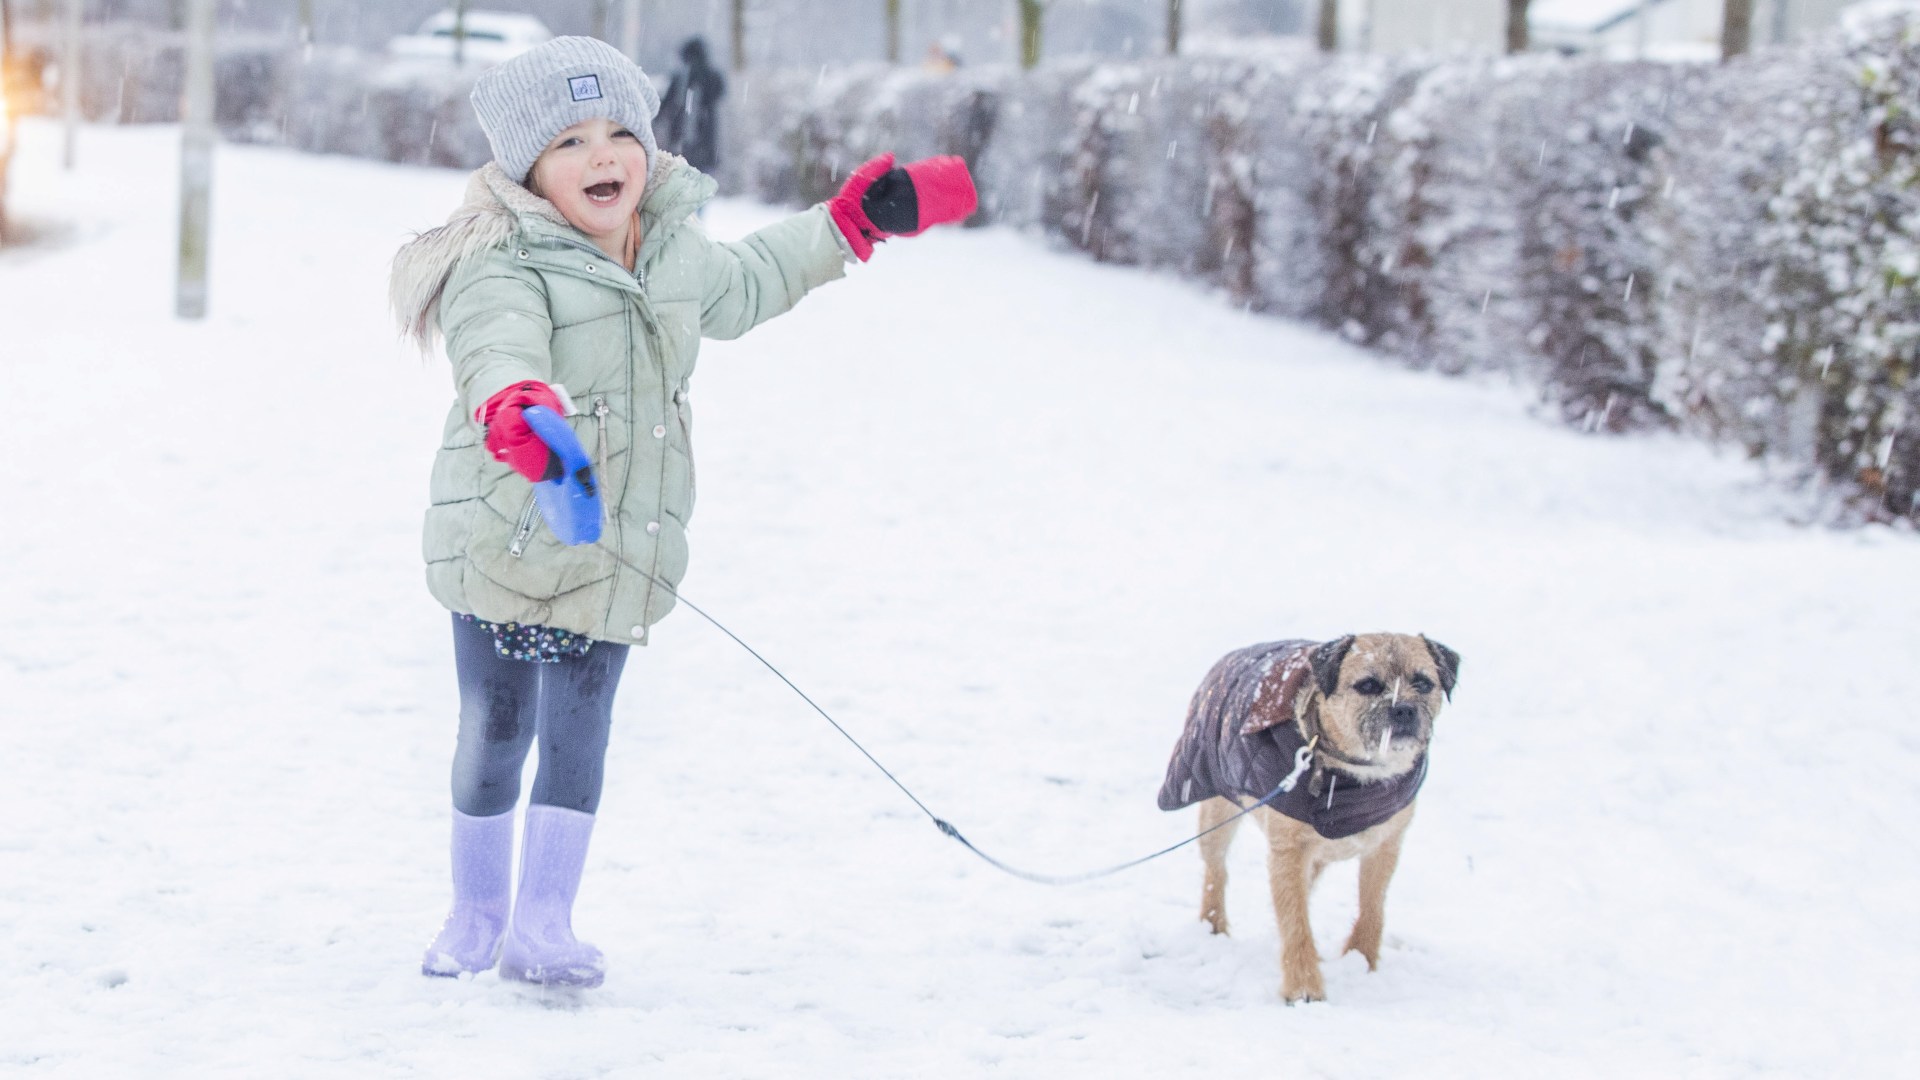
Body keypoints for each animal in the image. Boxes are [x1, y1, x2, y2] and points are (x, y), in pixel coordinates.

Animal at [1152, 630, 1451, 999]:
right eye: (1367, 685)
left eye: (1423, 683)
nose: (1404, 709)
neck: (1356, 775)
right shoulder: (1289, 851)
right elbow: (1295, 920)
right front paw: (1304, 988)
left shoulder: (1385, 845)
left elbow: (1372, 907)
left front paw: (1362, 961)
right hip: (1215, 810)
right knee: (1216, 870)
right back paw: (1213, 925)